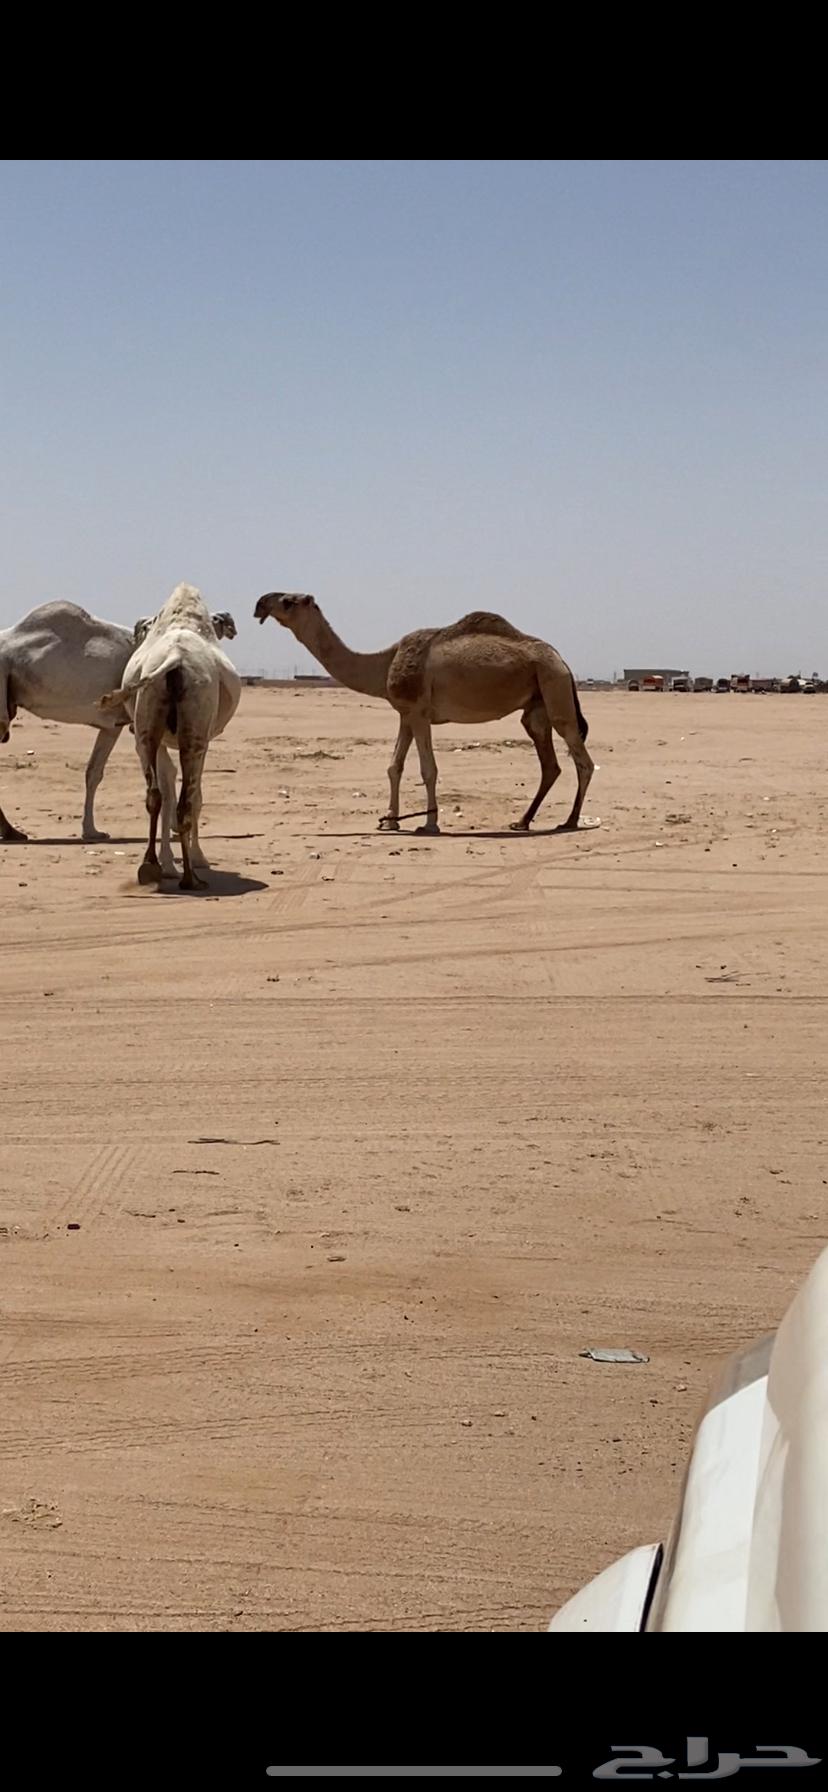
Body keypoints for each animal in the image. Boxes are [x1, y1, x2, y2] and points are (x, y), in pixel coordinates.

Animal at [0, 601, 238, 845]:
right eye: (214, 622)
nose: (228, 623)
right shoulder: (137, 723)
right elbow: (165, 774)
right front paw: (173, 826)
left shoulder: (112, 724)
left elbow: (94, 772)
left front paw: (91, 831)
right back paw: (12, 832)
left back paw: (13, 832)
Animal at [101, 585, 241, 889]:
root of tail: (175, 660)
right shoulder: (204, 740)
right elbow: (195, 796)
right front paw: (199, 858)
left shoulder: (159, 740)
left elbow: (166, 787)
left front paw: (167, 863)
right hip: (195, 731)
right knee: (186, 801)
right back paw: (191, 877)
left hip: (146, 723)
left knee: (154, 794)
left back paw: (149, 866)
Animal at [254, 593, 593, 833]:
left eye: (288, 600)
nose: (260, 604)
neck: (384, 662)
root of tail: (563, 661)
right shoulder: (405, 714)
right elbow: (394, 766)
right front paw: (390, 820)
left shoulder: (419, 713)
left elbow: (428, 769)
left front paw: (429, 823)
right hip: (536, 705)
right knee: (550, 763)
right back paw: (522, 821)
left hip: (554, 685)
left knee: (581, 758)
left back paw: (569, 821)